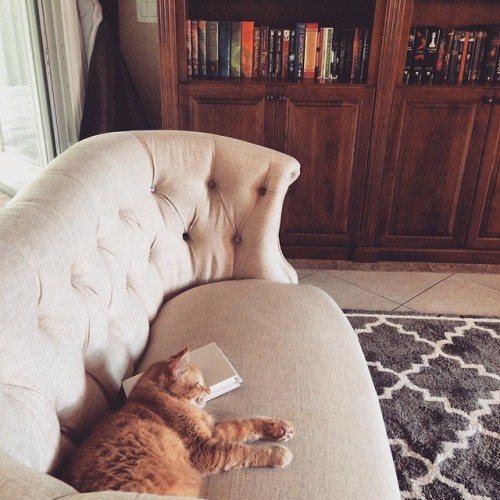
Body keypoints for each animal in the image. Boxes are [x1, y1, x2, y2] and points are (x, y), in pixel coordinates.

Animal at [64, 348, 294, 496]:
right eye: (199, 383)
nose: (209, 390)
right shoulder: (205, 449)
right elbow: (243, 451)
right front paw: (276, 453)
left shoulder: (212, 431)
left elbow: (247, 424)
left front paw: (279, 428)